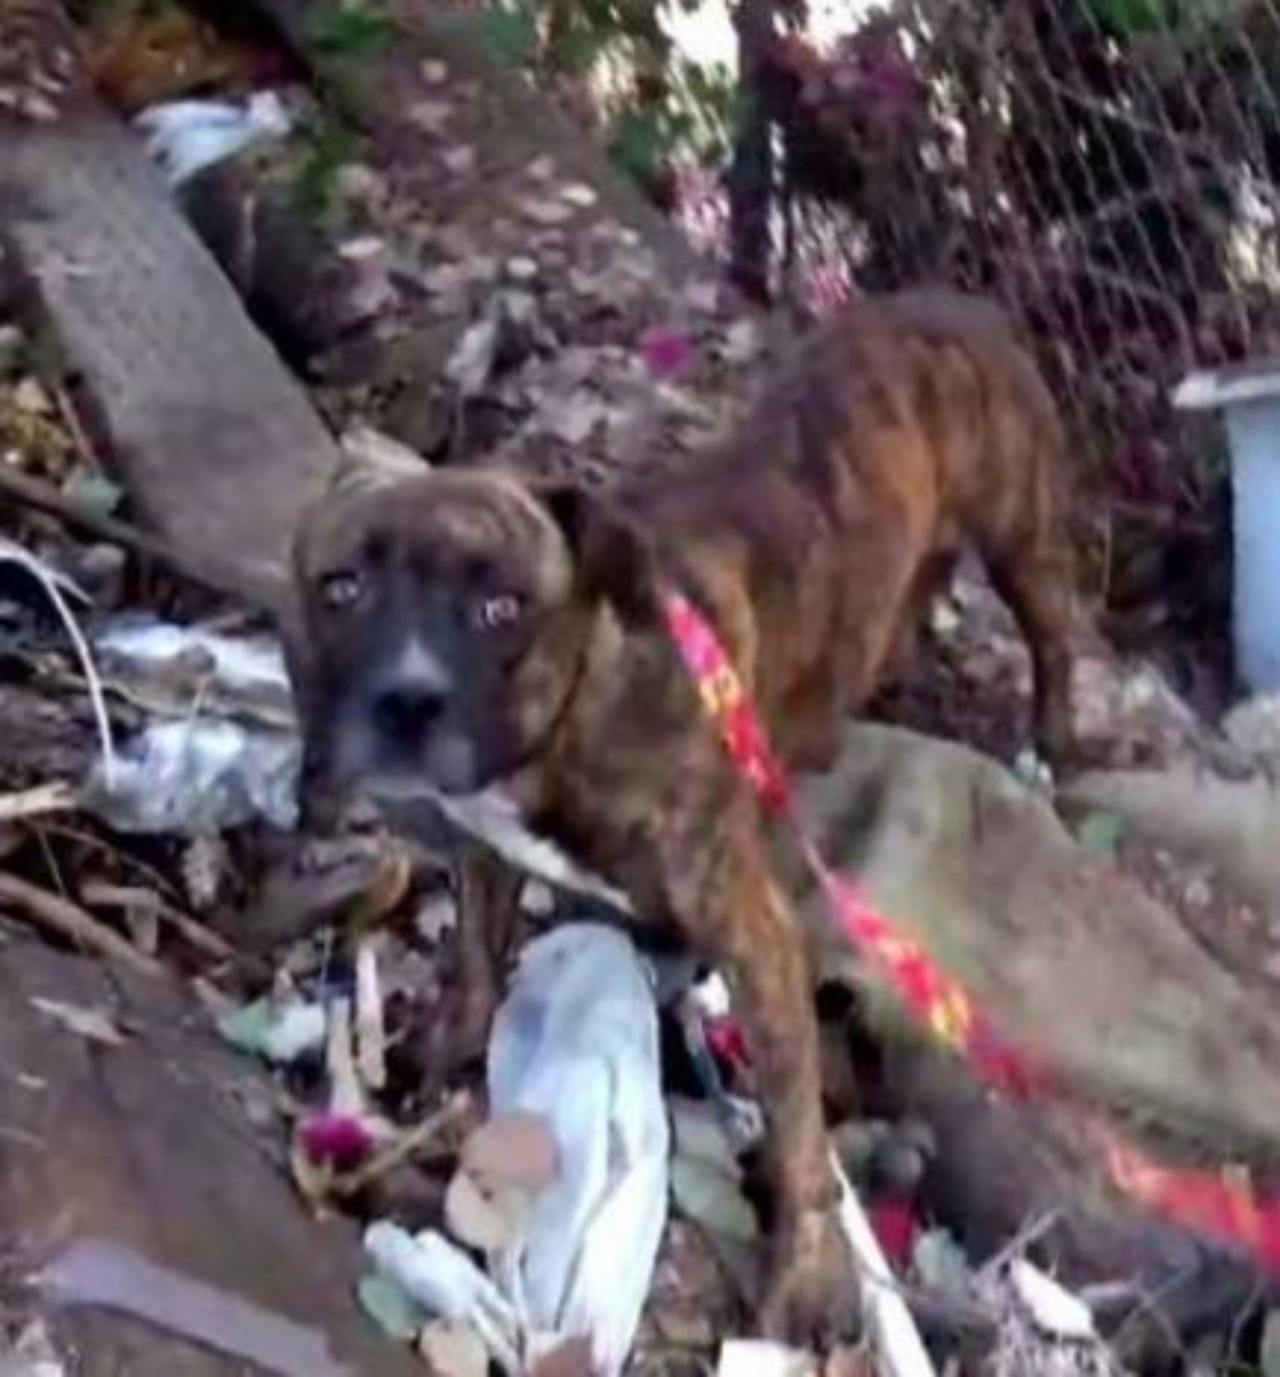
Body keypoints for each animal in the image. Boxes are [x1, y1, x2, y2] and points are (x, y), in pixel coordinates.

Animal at [284, 293, 1084, 1343]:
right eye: (341, 589)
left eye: (503, 607)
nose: (408, 698)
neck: (588, 704)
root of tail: (960, 301)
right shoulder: (489, 843)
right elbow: (477, 955)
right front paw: (442, 1042)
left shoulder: (757, 939)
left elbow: (797, 1129)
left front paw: (808, 1278)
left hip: (1024, 534)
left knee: (1055, 632)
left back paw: (1049, 744)